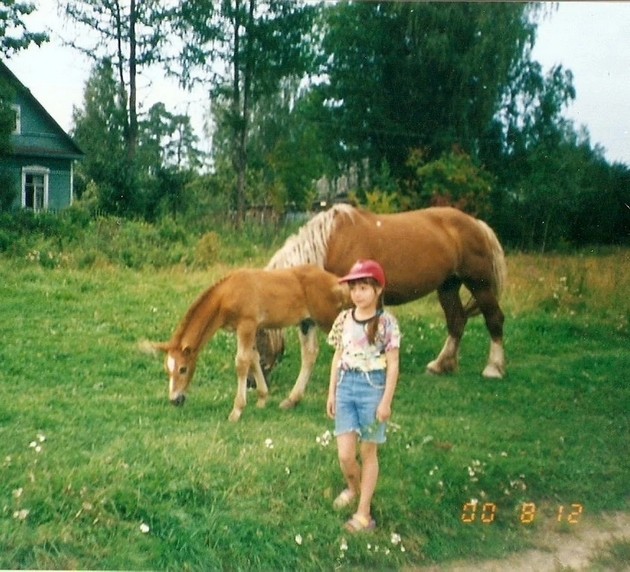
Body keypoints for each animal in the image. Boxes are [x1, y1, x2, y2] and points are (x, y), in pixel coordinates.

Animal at [151, 266, 354, 422]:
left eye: (183, 369)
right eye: (167, 370)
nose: (175, 400)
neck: (227, 294)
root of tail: (337, 281)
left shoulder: (246, 325)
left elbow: (242, 362)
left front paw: (237, 411)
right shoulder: (249, 329)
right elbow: (253, 358)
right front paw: (262, 399)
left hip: (329, 319)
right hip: (307, 323)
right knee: (310, 355)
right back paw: (292, 400)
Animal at [258, 203, 508, 408]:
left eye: (257, 342)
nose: (253, 384)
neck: (331, 244)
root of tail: (477, 224)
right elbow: (309, 352)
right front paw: (293, 398)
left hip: (478, 284)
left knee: (494, 319)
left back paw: (494, 368)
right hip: (447, 286)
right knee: (457, 321)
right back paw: (440, 365)